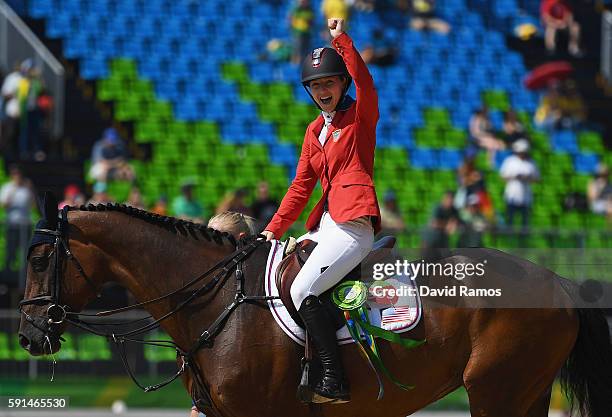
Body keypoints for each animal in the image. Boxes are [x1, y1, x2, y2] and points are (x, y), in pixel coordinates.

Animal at [16, 196, 612, 416]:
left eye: (42, 257)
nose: (28, 336)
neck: (216, 302)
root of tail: (558, 282)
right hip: (525, 391)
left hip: (497, 391)